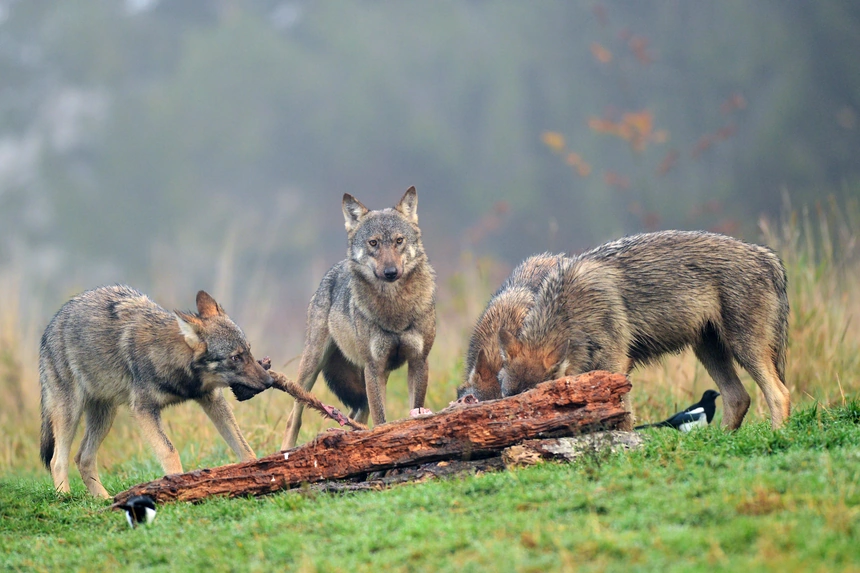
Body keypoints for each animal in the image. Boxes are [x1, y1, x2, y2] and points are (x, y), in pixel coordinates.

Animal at [39, 286, 273, 498]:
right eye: (235, 357)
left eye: (249, 351)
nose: (269, 381)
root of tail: (51, 325)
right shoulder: (144, 410)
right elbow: (169, 451)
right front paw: (179, 488)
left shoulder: (213, 400)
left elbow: (244, 446)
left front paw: (258, 472)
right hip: (72, 413)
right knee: (57, 460)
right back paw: (65, 499)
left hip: (104, 415)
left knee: (83, 458)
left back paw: (104, 501)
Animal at [281, 187, 437, 449]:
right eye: (373, 243)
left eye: (399, 241)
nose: (391, 272)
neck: (394, 309)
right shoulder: (375, 368)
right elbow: (381, 420)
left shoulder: (418, 361)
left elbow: (414, 409)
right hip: (313, 366)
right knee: (294, 416)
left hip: (364, 382)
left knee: (354, 417)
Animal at [496, 231, 790, 429]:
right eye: (508, 401)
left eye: (536, 405)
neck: (570, 310)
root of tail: (768, 256)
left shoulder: (616, 367)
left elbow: (622, 418)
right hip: (708, 350)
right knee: (738, 398)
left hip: (744, 348)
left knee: (779, 394)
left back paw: (777, 436)